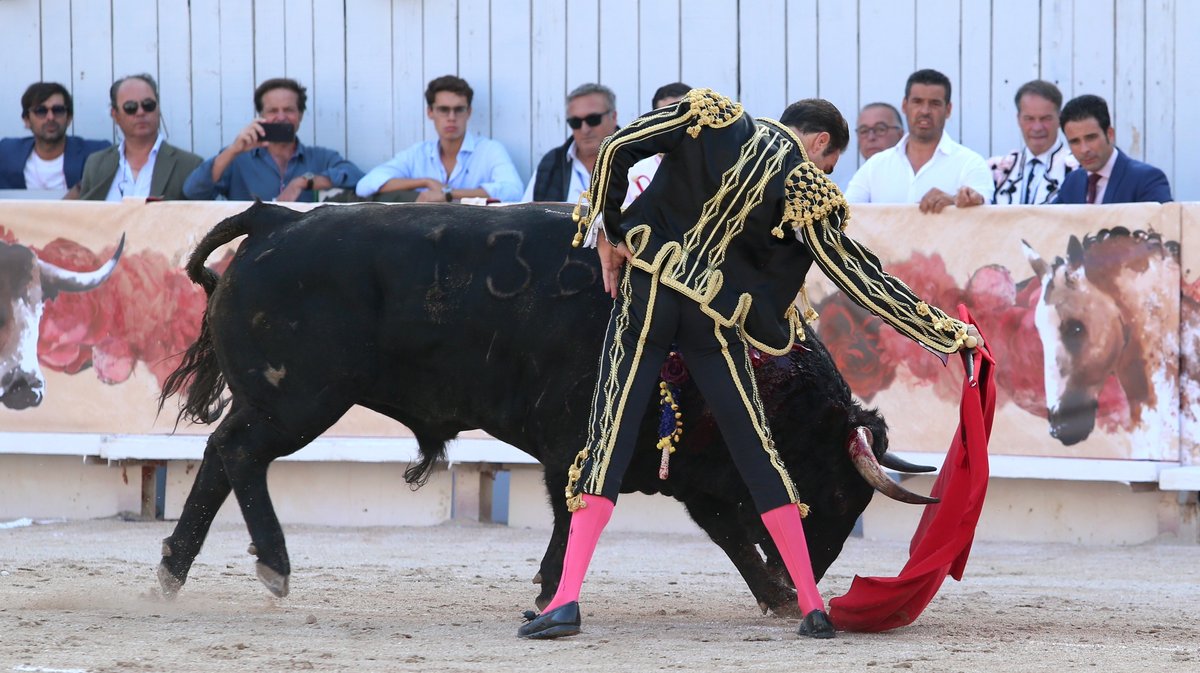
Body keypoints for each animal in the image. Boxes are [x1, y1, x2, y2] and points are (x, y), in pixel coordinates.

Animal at [159, 201, 931, 619]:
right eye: (839, 492)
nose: (819, 573)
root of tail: (273, 218)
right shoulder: (584, 447)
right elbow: (576, 514)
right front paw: (551, 591)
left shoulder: (693, 470)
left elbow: (733, 535)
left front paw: (776, 594)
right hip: (297, 399)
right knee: (238, 454)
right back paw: (272, 563)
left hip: (277, 401)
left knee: (221, 455)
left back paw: (174, 568)